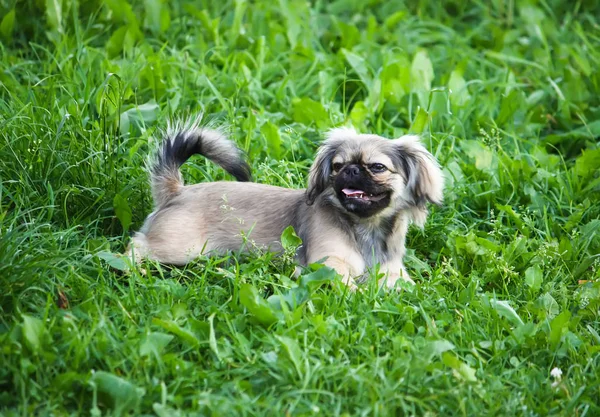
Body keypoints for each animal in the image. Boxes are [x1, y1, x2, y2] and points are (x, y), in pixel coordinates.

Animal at [127, 119, 446, 290]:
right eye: (337, 166)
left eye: (377, 167)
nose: (351, 170)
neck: (366, 229)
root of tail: (177, 191)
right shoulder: (328, 264)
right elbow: (347, 285)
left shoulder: (393, 273)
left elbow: (406, 288)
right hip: (180, 248)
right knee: (135, 247)